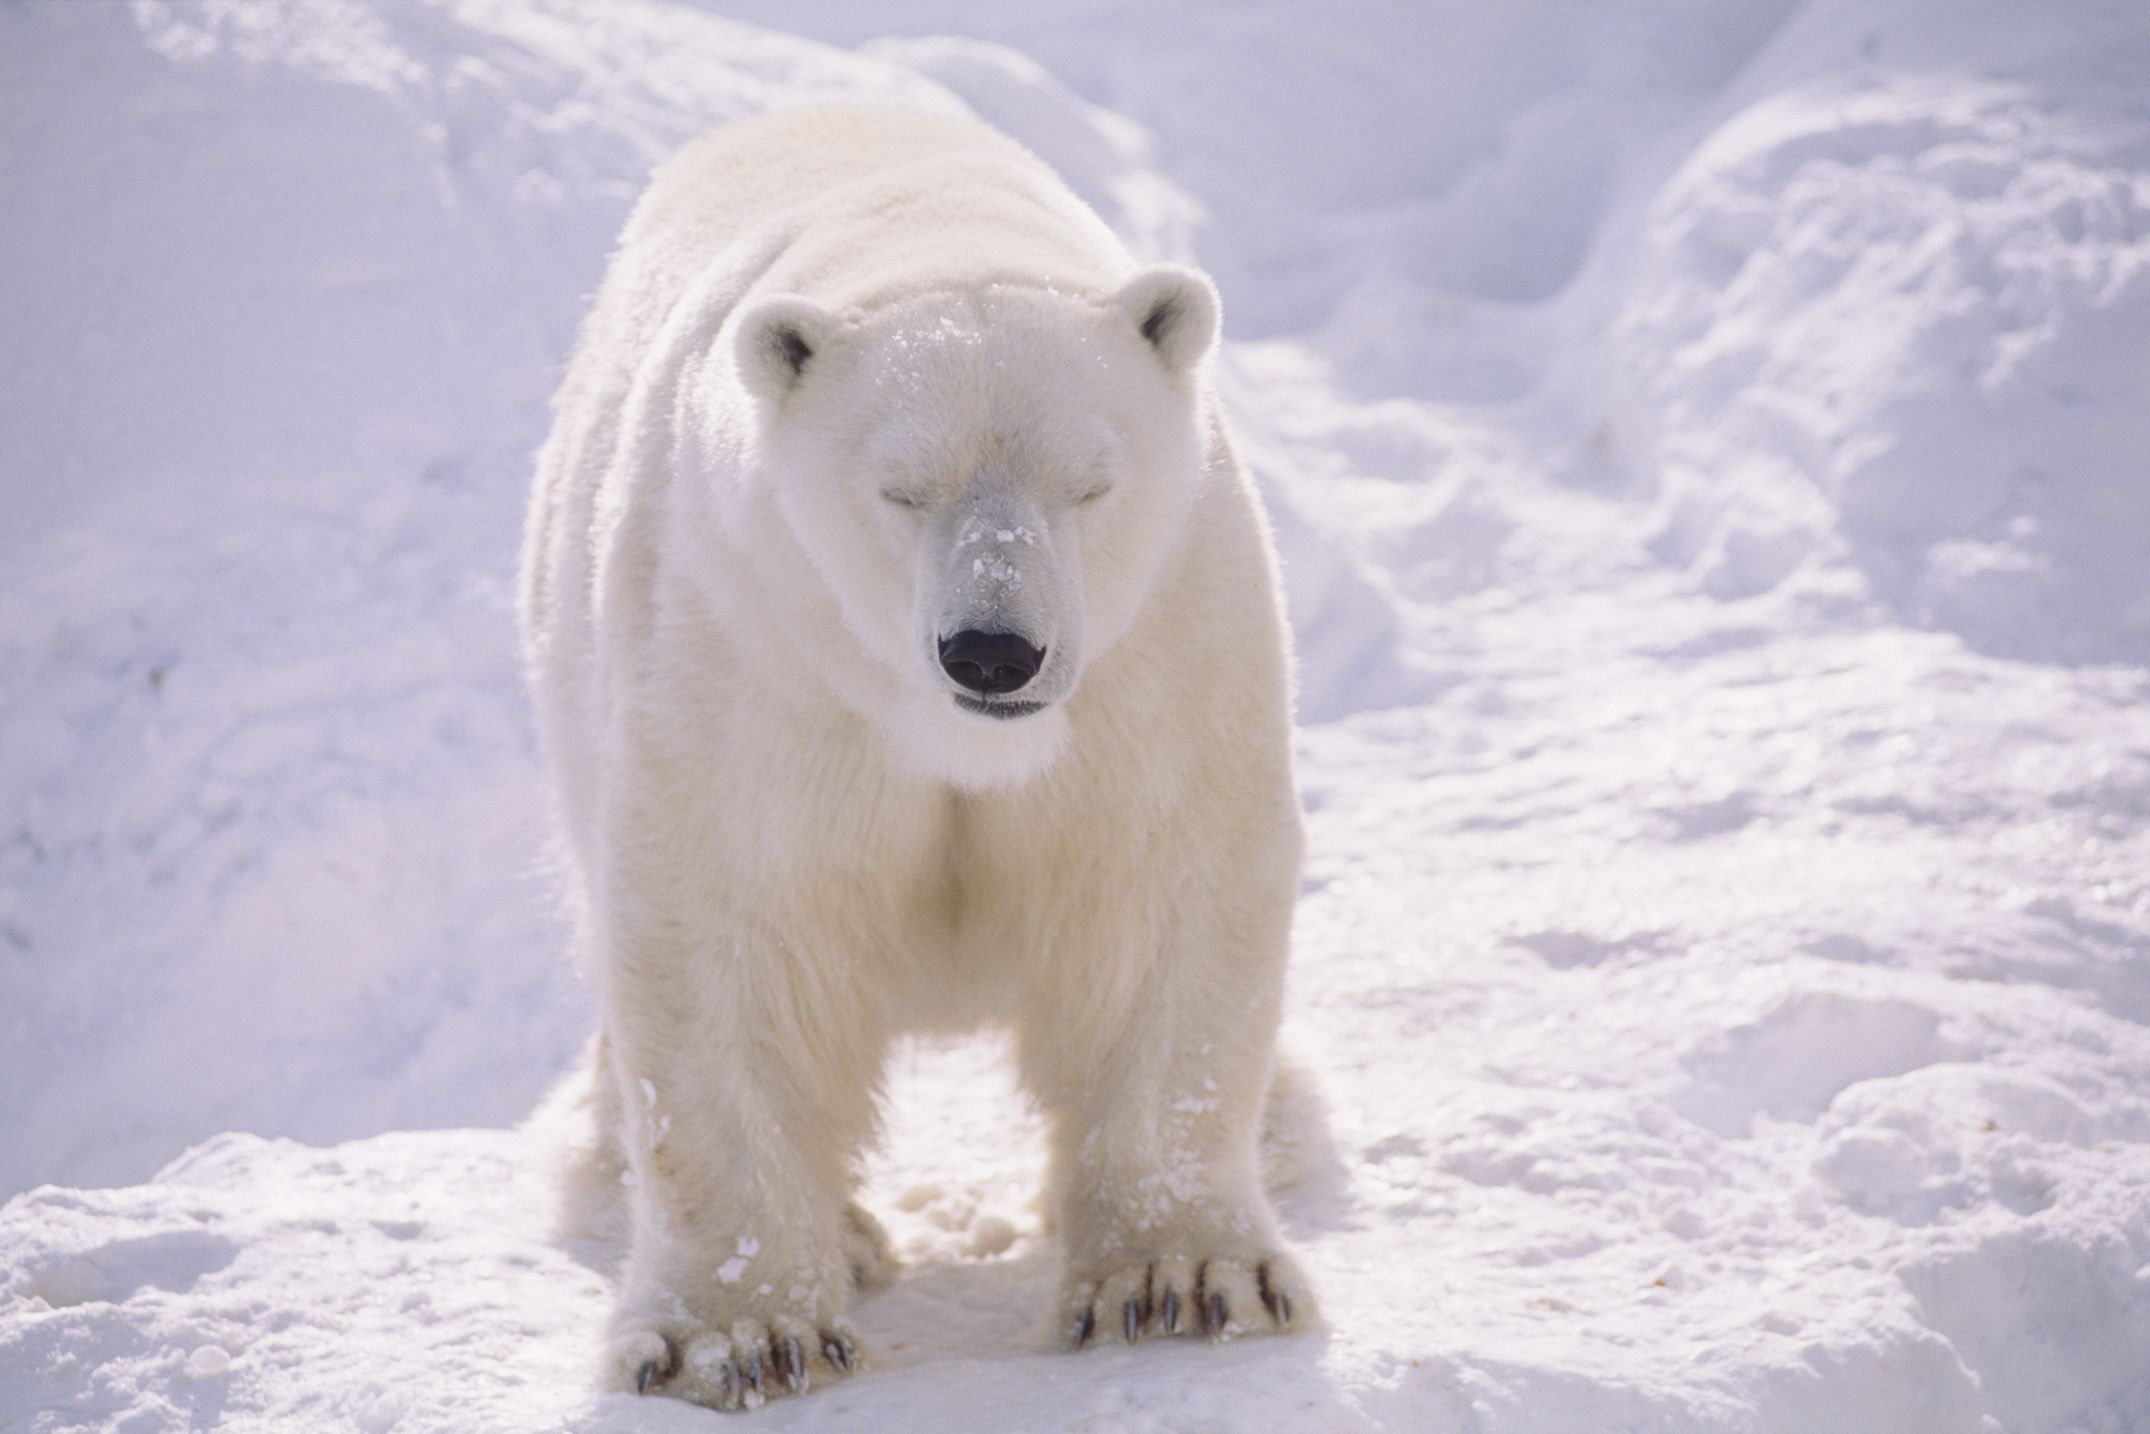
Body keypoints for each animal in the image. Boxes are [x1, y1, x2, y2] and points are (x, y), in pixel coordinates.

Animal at [524, 106, 1307, 1410]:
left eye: (1088, 483)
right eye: (898, 490)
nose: (992, 650)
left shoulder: (1160, 645)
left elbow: (1161, 886)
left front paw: (1178, 1279)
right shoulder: (751, 644)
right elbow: (725, 922)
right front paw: (735, 1333)